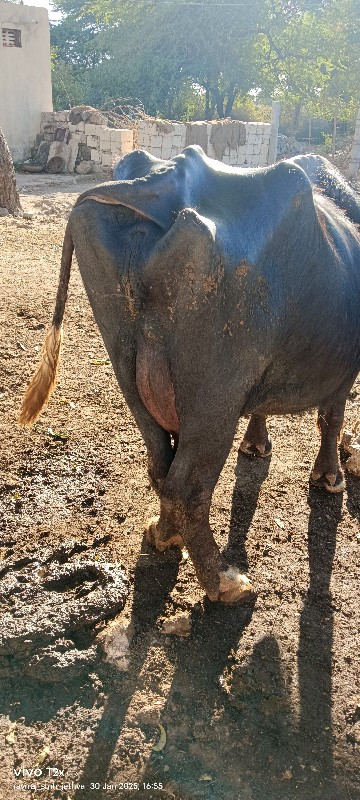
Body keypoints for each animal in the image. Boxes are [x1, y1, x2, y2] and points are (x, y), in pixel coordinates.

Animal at [19, 147, 360, 604]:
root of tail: (160, 183)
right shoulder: (344, 371)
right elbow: (331, 417)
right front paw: (329, 477)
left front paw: (257, 444)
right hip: (212, 401)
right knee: (188, 489)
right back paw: (224, 581)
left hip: (127, 367)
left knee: (161, 466)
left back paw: (163, 536)